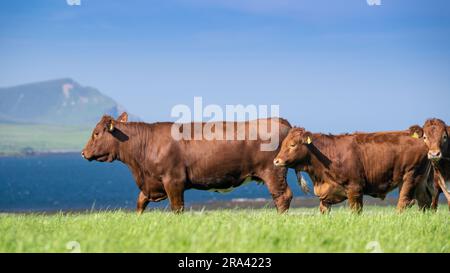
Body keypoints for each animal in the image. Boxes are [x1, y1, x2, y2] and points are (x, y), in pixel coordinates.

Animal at [82, 112, 298, 212]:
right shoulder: (152, 183)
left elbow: (177, 207)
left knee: (282, 196)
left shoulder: (173, 180)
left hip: (273, 171)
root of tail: (277, 119)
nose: (83, 153)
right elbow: (140, 202)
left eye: (96, 133)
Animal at [274, 126, 432, 214]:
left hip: (410, 176)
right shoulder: (326, 193)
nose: (276, 161)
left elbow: (356, 211)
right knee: (425, 201)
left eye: (293, 144)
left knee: (404, 201)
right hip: (421, 180)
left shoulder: (355, 188)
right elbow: (324, 211)